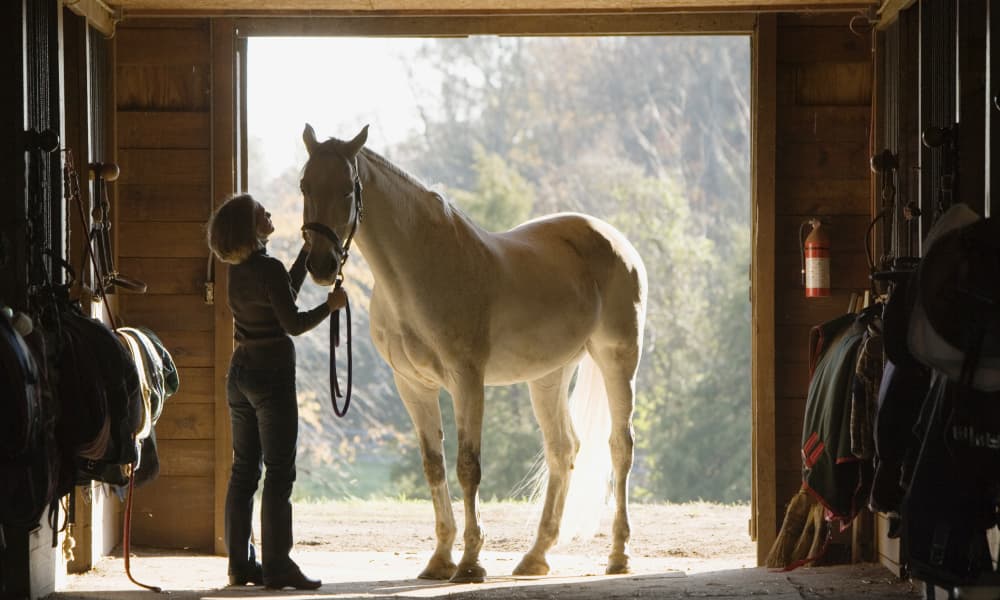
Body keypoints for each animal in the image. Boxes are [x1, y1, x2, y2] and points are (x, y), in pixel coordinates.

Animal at [296, 124, 648, 584]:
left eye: (345, 191)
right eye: (304, 185)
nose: (321, 266)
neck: (420, 270)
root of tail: (617, 241)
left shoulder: (467, 380)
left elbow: (468, 466)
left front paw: (469, 563)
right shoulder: (413, 385)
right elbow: (434, 465)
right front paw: (440, 559)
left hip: (617, 359)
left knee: (620, 447)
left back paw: (619, 555)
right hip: (549, 375)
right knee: (562, 450)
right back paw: (535, 556)